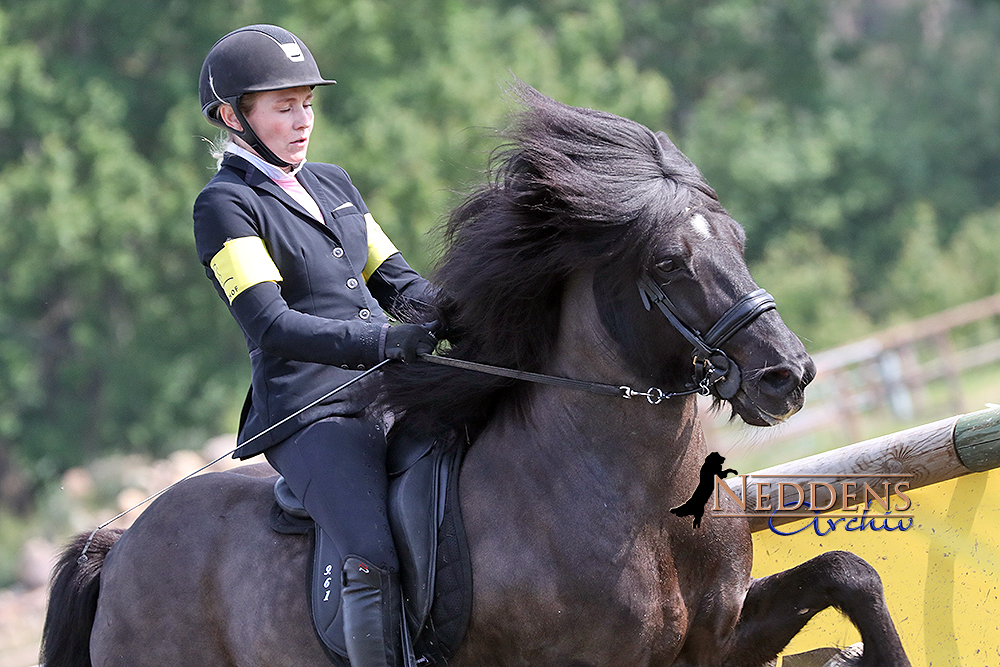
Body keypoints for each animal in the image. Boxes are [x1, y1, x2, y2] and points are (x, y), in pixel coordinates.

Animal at [43, 83, 912, 667]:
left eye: (735, 237)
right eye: (669, 261)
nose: (786, 375)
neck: (631, 499)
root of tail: (117, 542)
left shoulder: (714, 642)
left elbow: (851, 572)